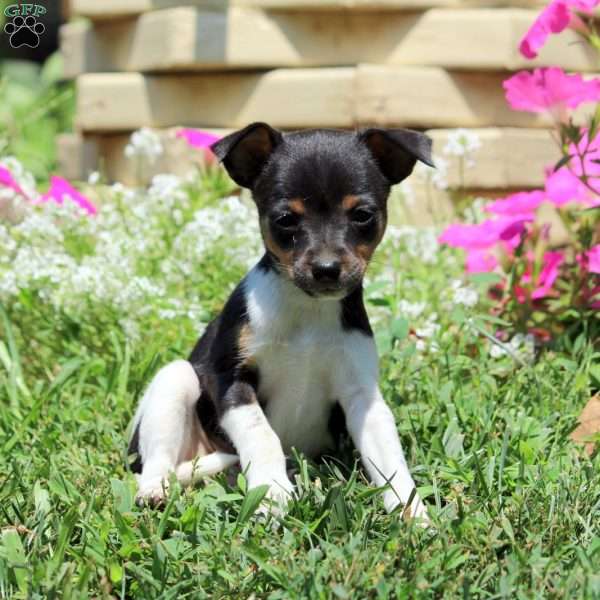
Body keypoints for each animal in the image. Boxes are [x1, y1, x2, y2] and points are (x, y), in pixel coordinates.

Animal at [129, 122, 434, 520]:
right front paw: (272, 491)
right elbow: (262, 435)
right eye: (285, 219)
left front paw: (411, 513)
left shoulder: (361, 394)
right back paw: (155, 489)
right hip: (175, 381)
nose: (326, 269)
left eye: (362, 215)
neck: (307, 311)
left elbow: (389, 457)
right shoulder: (230, 381)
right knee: (156, 459)